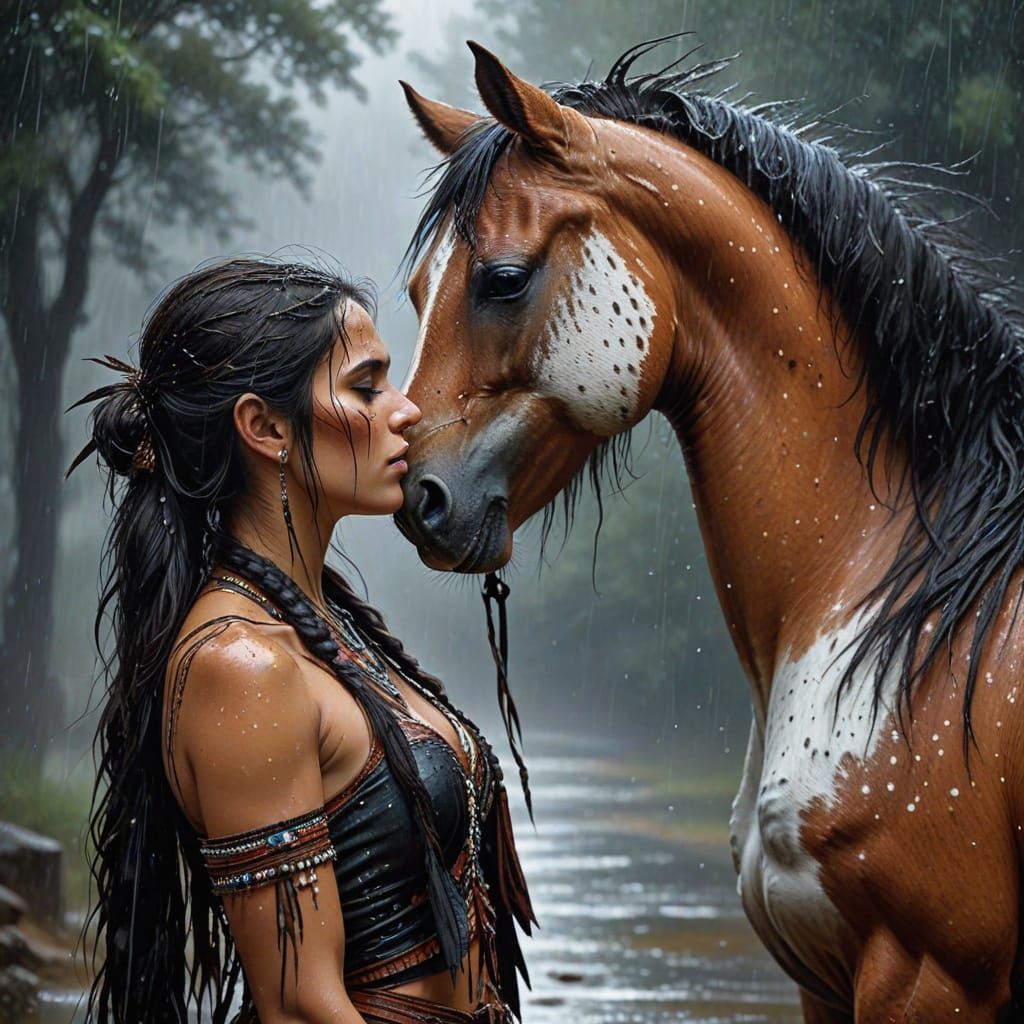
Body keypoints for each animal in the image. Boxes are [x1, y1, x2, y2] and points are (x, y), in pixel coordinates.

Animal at [393, 40, 1024, 1022]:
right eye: (423, 287)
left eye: (501, 279)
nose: (418, 497)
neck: (901, 604)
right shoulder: (822, 982)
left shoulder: (930, 979)